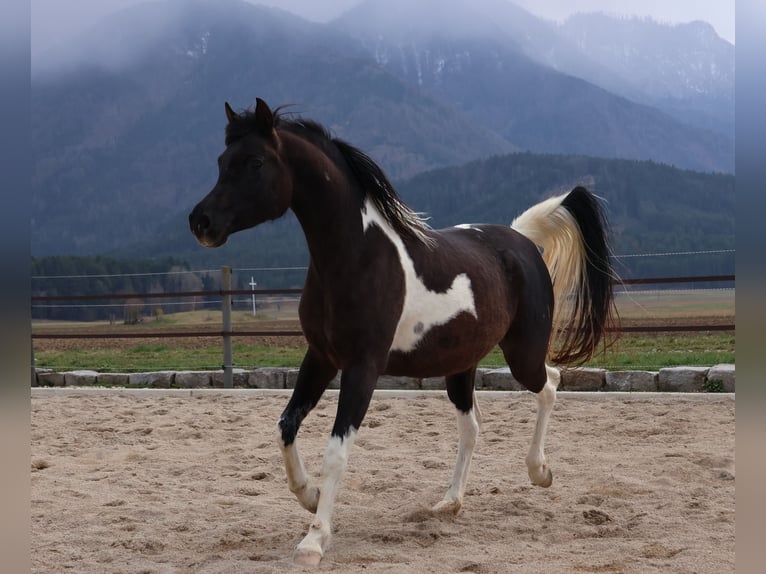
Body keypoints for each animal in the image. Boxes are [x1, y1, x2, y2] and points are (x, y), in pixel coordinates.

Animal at [189, 98, 616, 566]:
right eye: (220, 162)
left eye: (255, 162)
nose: (200, 222)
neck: (356, 258)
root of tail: (520, 240)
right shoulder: (320, 357)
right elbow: (285, 425)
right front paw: (309, 494)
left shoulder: (363, 367)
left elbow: (336, 451)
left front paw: (314, 539)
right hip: (460, 365)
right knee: (473, 425)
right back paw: (449, 502)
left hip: (521, 354)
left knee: (551, 383)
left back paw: (540, 472)